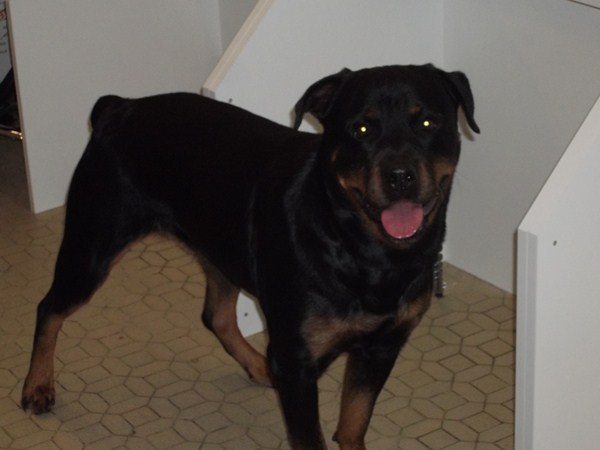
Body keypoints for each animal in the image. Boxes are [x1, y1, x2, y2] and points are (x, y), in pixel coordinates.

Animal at [21, 64, 479, 449]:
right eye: (361, 128)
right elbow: (311, 438)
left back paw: (258, 366)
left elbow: (353, 423)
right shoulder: (297, 361)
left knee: (216, 316)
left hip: (220, 247)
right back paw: (37, 385)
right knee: (49, 307)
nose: (400, 175)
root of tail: (120, 107)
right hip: (92, 246)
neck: (365, 251)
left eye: (427, 122)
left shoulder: (383, 347)